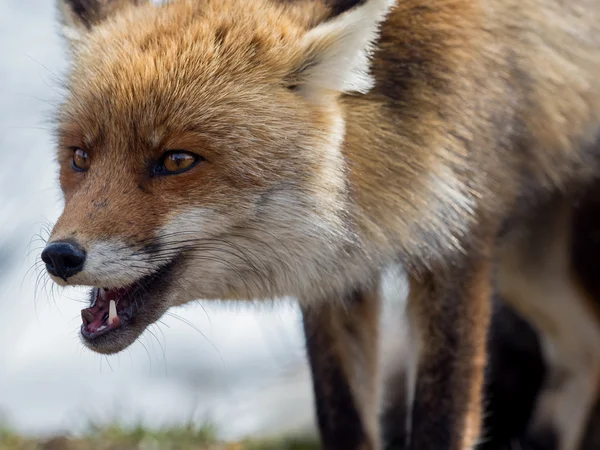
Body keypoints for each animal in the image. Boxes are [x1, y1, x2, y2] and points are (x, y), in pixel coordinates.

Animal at [44, 0, 600, 450]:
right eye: (80, 157)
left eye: (177, 160)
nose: (59, 257)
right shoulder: (333, 270)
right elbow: (342, 419)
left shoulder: (461, 237)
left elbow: (441, 423)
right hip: (534, 277)